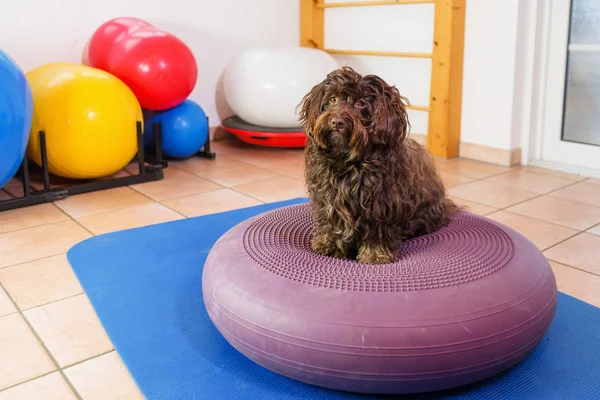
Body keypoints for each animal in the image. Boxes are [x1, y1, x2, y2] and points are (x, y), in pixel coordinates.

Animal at [298, 67, 458, 264]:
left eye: (361, 103)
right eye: (333, 99)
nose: (336, 122)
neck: (348, 162)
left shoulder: (380, 204)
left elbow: (377, 232)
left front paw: (375, 255)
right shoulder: (327, 198)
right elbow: (330, 221)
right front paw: (329, 245)